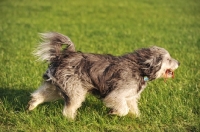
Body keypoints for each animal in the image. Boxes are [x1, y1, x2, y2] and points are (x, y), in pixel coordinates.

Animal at [27, 32, 180, 119]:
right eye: (168, 59)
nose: (178, 62)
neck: (140, 68)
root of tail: (61, 56)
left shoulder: (130, 96)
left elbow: (133, 109)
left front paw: (137, 118)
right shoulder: (115, 95)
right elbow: (123, 109)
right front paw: (113, 113)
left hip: (58, 87)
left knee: (38, 95)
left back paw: (31, 106)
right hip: (76, 91)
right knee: (68, 109)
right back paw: (71, 120)